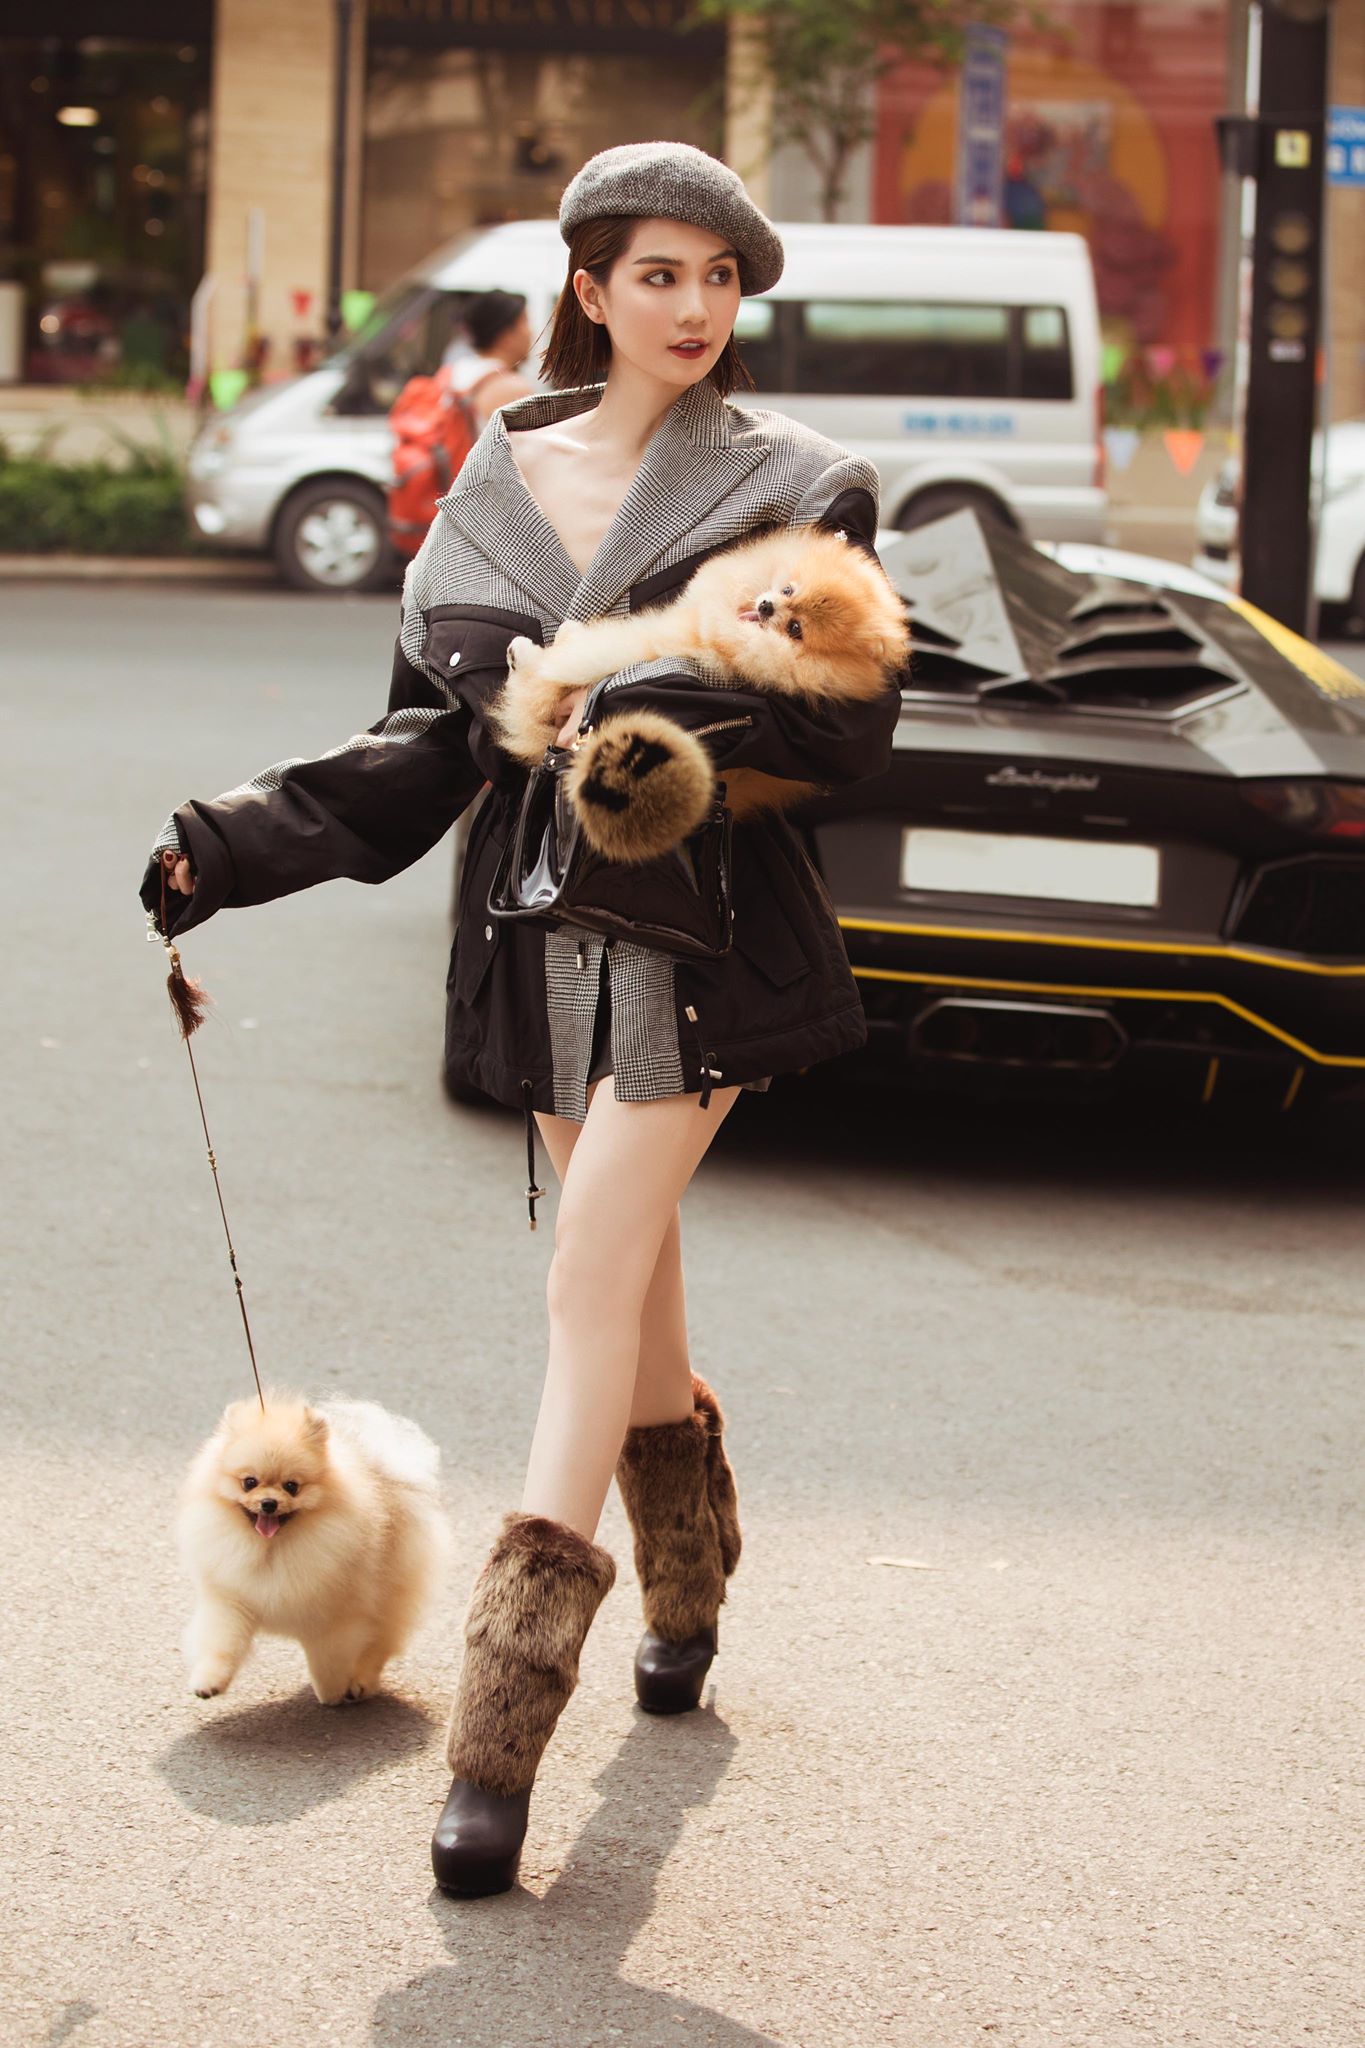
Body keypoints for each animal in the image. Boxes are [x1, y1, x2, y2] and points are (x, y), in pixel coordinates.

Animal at [177, 1391, 449, 1705]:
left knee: (379, 1644)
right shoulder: (232, 1601)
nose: (268, 1503)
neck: (271, 1550)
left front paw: (331, 1693)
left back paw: (361, 1683)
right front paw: (208, 1682)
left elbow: (328, 1662)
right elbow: (220, 1642)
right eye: (249, 1482)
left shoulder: (333, 1617)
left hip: (389, 1595)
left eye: (291, 1486)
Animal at [490, 523, 910, 863]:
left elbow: (571, 659)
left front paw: (550, 645)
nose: (766, 605)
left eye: (796, 628)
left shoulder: (656, 639)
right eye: (788, 588)